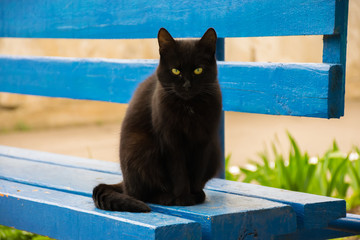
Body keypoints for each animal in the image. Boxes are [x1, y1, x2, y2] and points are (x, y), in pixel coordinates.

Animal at [93, 27, 222, 213]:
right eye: (176, 71)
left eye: (198, 70)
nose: (187, 85)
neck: (189, 107)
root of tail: (124, 182)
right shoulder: (170, 141)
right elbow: (179, 172)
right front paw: (183, 198)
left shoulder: (204, 140)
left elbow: (197, 170)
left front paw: (196, 194)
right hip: (140, 146)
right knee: (138, 193)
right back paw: (166, 198)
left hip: (215, 152)